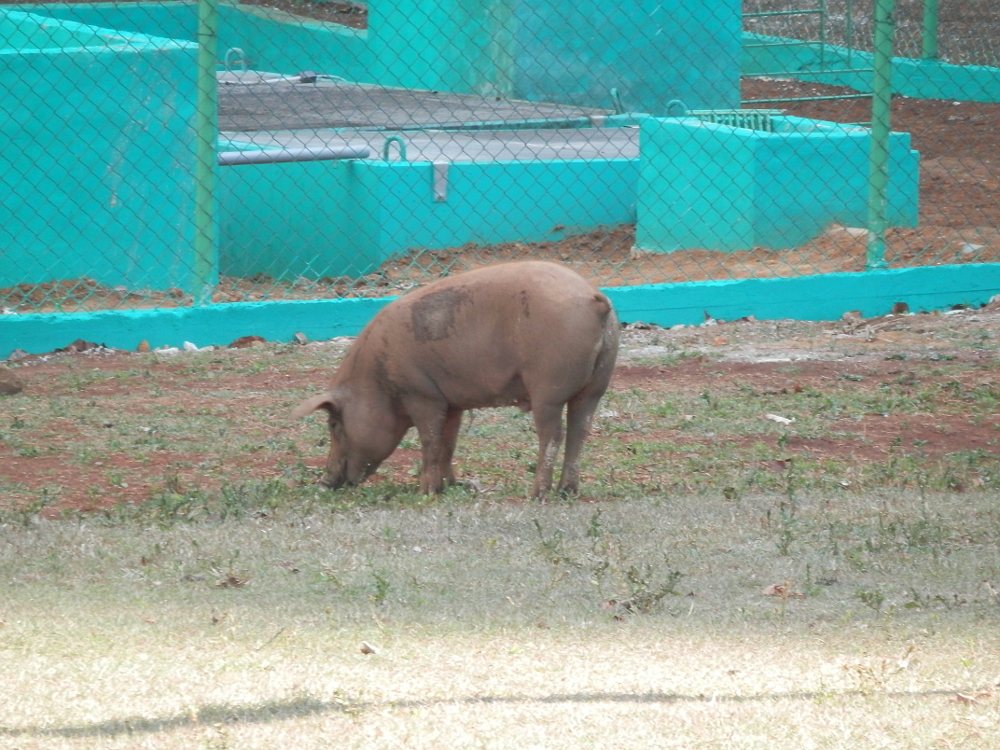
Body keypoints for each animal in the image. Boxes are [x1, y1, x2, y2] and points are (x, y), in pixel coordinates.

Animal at [292, 262, 616, 500]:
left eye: (334, 424)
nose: (324, 483)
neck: (376, 380)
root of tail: (594, 298)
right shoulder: (451, 403)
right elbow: (448, 442)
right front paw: (450, 486)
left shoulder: (421, 394)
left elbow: (429, 441)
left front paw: (424, 493)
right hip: (596, 386)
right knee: (580, 431)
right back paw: (567, 492)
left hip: (547, 388)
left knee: (553, 435)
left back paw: (536, 494)